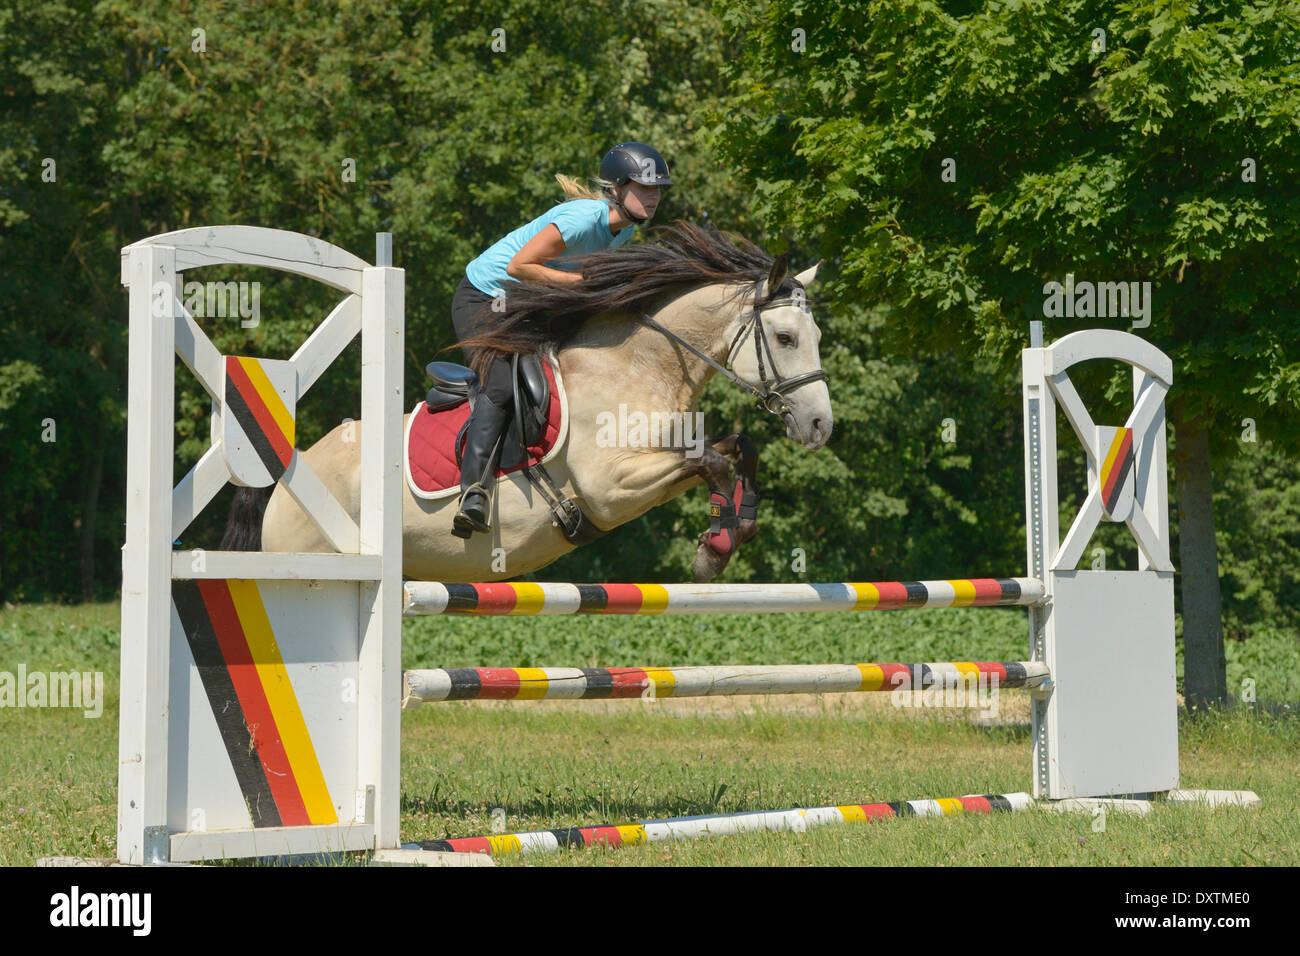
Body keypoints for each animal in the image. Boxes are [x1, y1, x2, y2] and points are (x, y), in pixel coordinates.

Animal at [240, 223, 837, 582]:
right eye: (786, 337)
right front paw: (715, 548)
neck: (638, 366)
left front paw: (739, 528)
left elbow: (737, 450)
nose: (819, 425)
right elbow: (713, 461)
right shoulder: (610, 488)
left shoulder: (659, 461)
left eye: (816, 336)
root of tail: (284, 482)